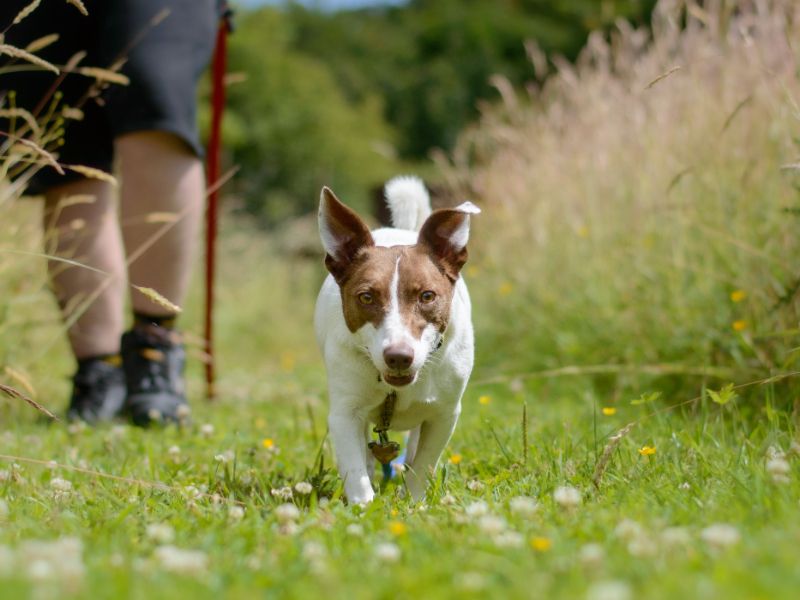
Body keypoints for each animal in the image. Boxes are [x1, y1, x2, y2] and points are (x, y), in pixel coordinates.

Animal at [312, 176, 478, 504]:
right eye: (366, 297)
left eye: (427, 296)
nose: (399, 356)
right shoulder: (345, 412)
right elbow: (355, 468)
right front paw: (364, 507)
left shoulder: (444, 413)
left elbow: (424, 462)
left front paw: (414, 501)